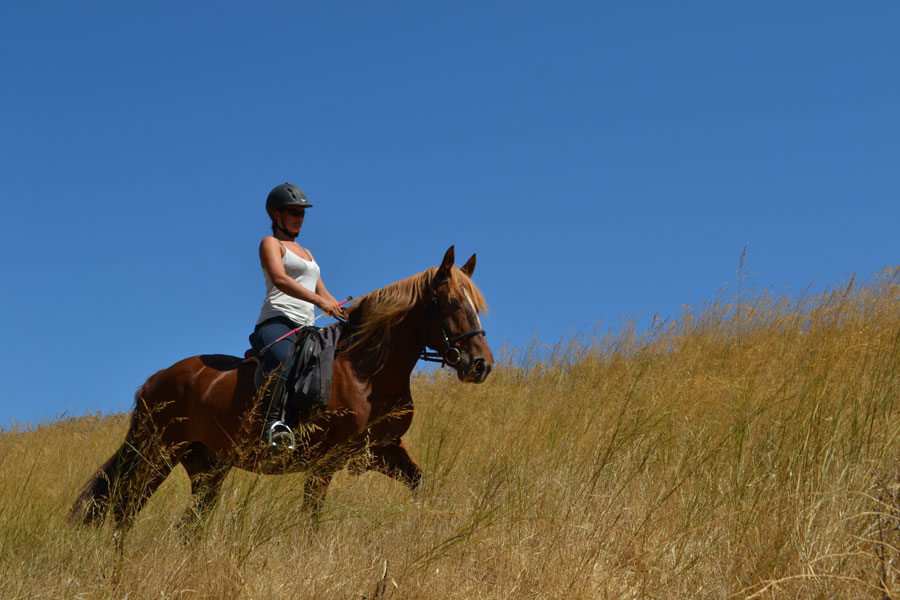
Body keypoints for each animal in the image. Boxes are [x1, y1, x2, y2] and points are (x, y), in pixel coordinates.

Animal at [69, 246, 493, 533]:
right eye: (451, 302)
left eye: (476, 305)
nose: (481, 365)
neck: (367, 371)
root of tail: (154, 381)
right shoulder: (325, 460)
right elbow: (312, 517)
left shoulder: (383, 452)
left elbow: (421, 484)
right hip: (158, 454)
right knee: (125, 510)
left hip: (206, 465)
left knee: (189, 525)